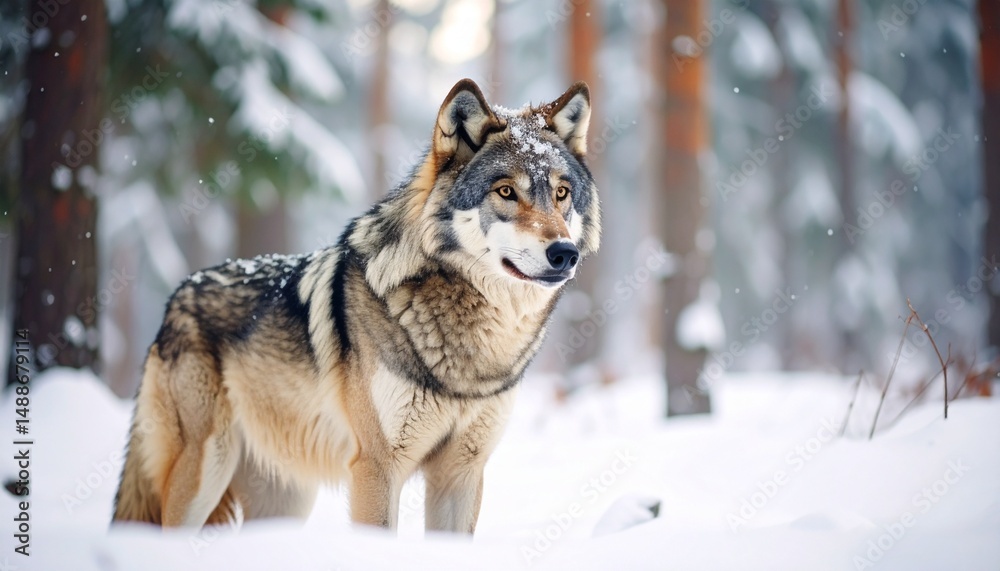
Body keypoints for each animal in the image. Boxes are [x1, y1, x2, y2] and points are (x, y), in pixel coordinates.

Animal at [112, 78, 600, 534]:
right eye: (505, 192)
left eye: (561, 193)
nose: (564, 253)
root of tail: (178, 293)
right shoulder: (377, 468)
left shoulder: (462, 473)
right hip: (204, 472)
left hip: (285, 501)